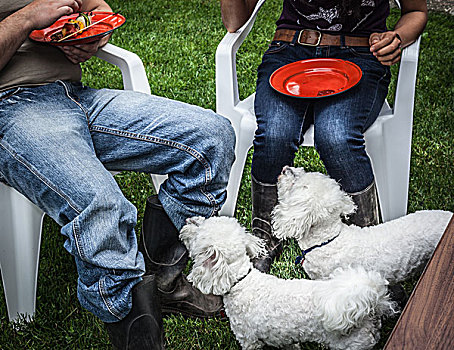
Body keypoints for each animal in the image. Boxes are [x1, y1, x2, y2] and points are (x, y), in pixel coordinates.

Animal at [179, 216, 396, 350]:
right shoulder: (281, 336)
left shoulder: (248, 339)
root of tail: (370, 303)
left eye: (199, 232)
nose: (188, 219)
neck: (243, 282)